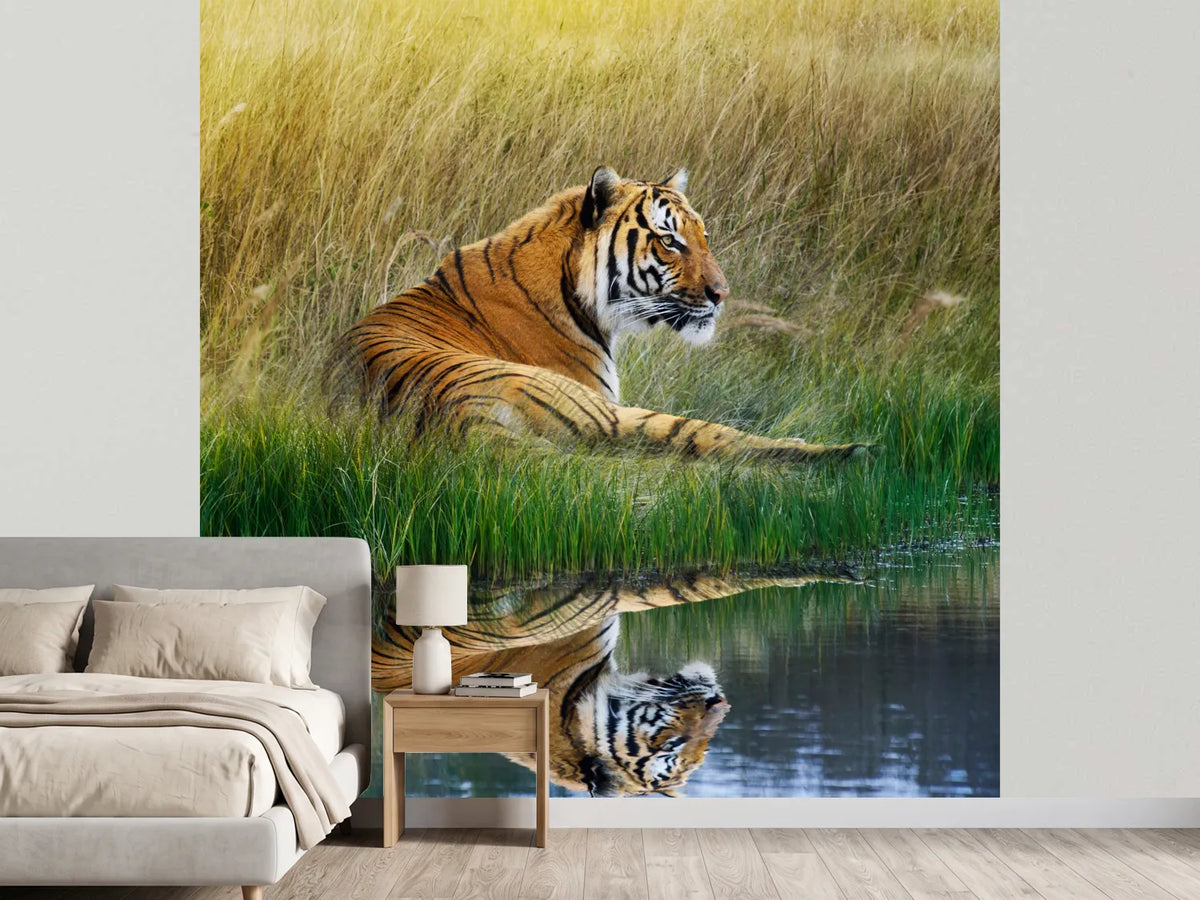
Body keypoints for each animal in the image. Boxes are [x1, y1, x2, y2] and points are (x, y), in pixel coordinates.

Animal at [343, 167, 868, 462]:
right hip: (603, 412)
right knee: (719, 437)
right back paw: (851, 450)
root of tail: (461, 422)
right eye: (670, 240)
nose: (722, 294)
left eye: (703, 236)